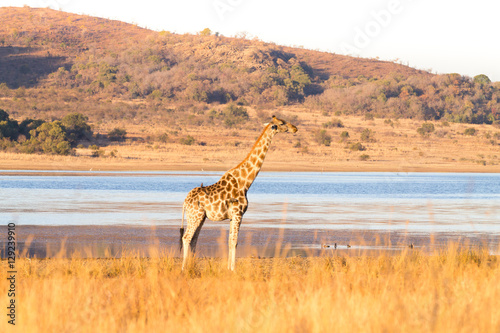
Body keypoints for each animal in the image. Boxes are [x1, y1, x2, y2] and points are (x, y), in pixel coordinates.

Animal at [180, 114, 296, 270]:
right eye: (282, 123)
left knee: (193, 239)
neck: (245, 182)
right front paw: (233, 269)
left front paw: (229, 268)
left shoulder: (232, 216)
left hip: (198, 217)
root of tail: (185, 202)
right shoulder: (238, 213)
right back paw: (184, 268)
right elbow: (234, 242)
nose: (295, 128)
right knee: (186, 237)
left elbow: (230, 241)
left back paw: (192, 267)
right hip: (195, 215)